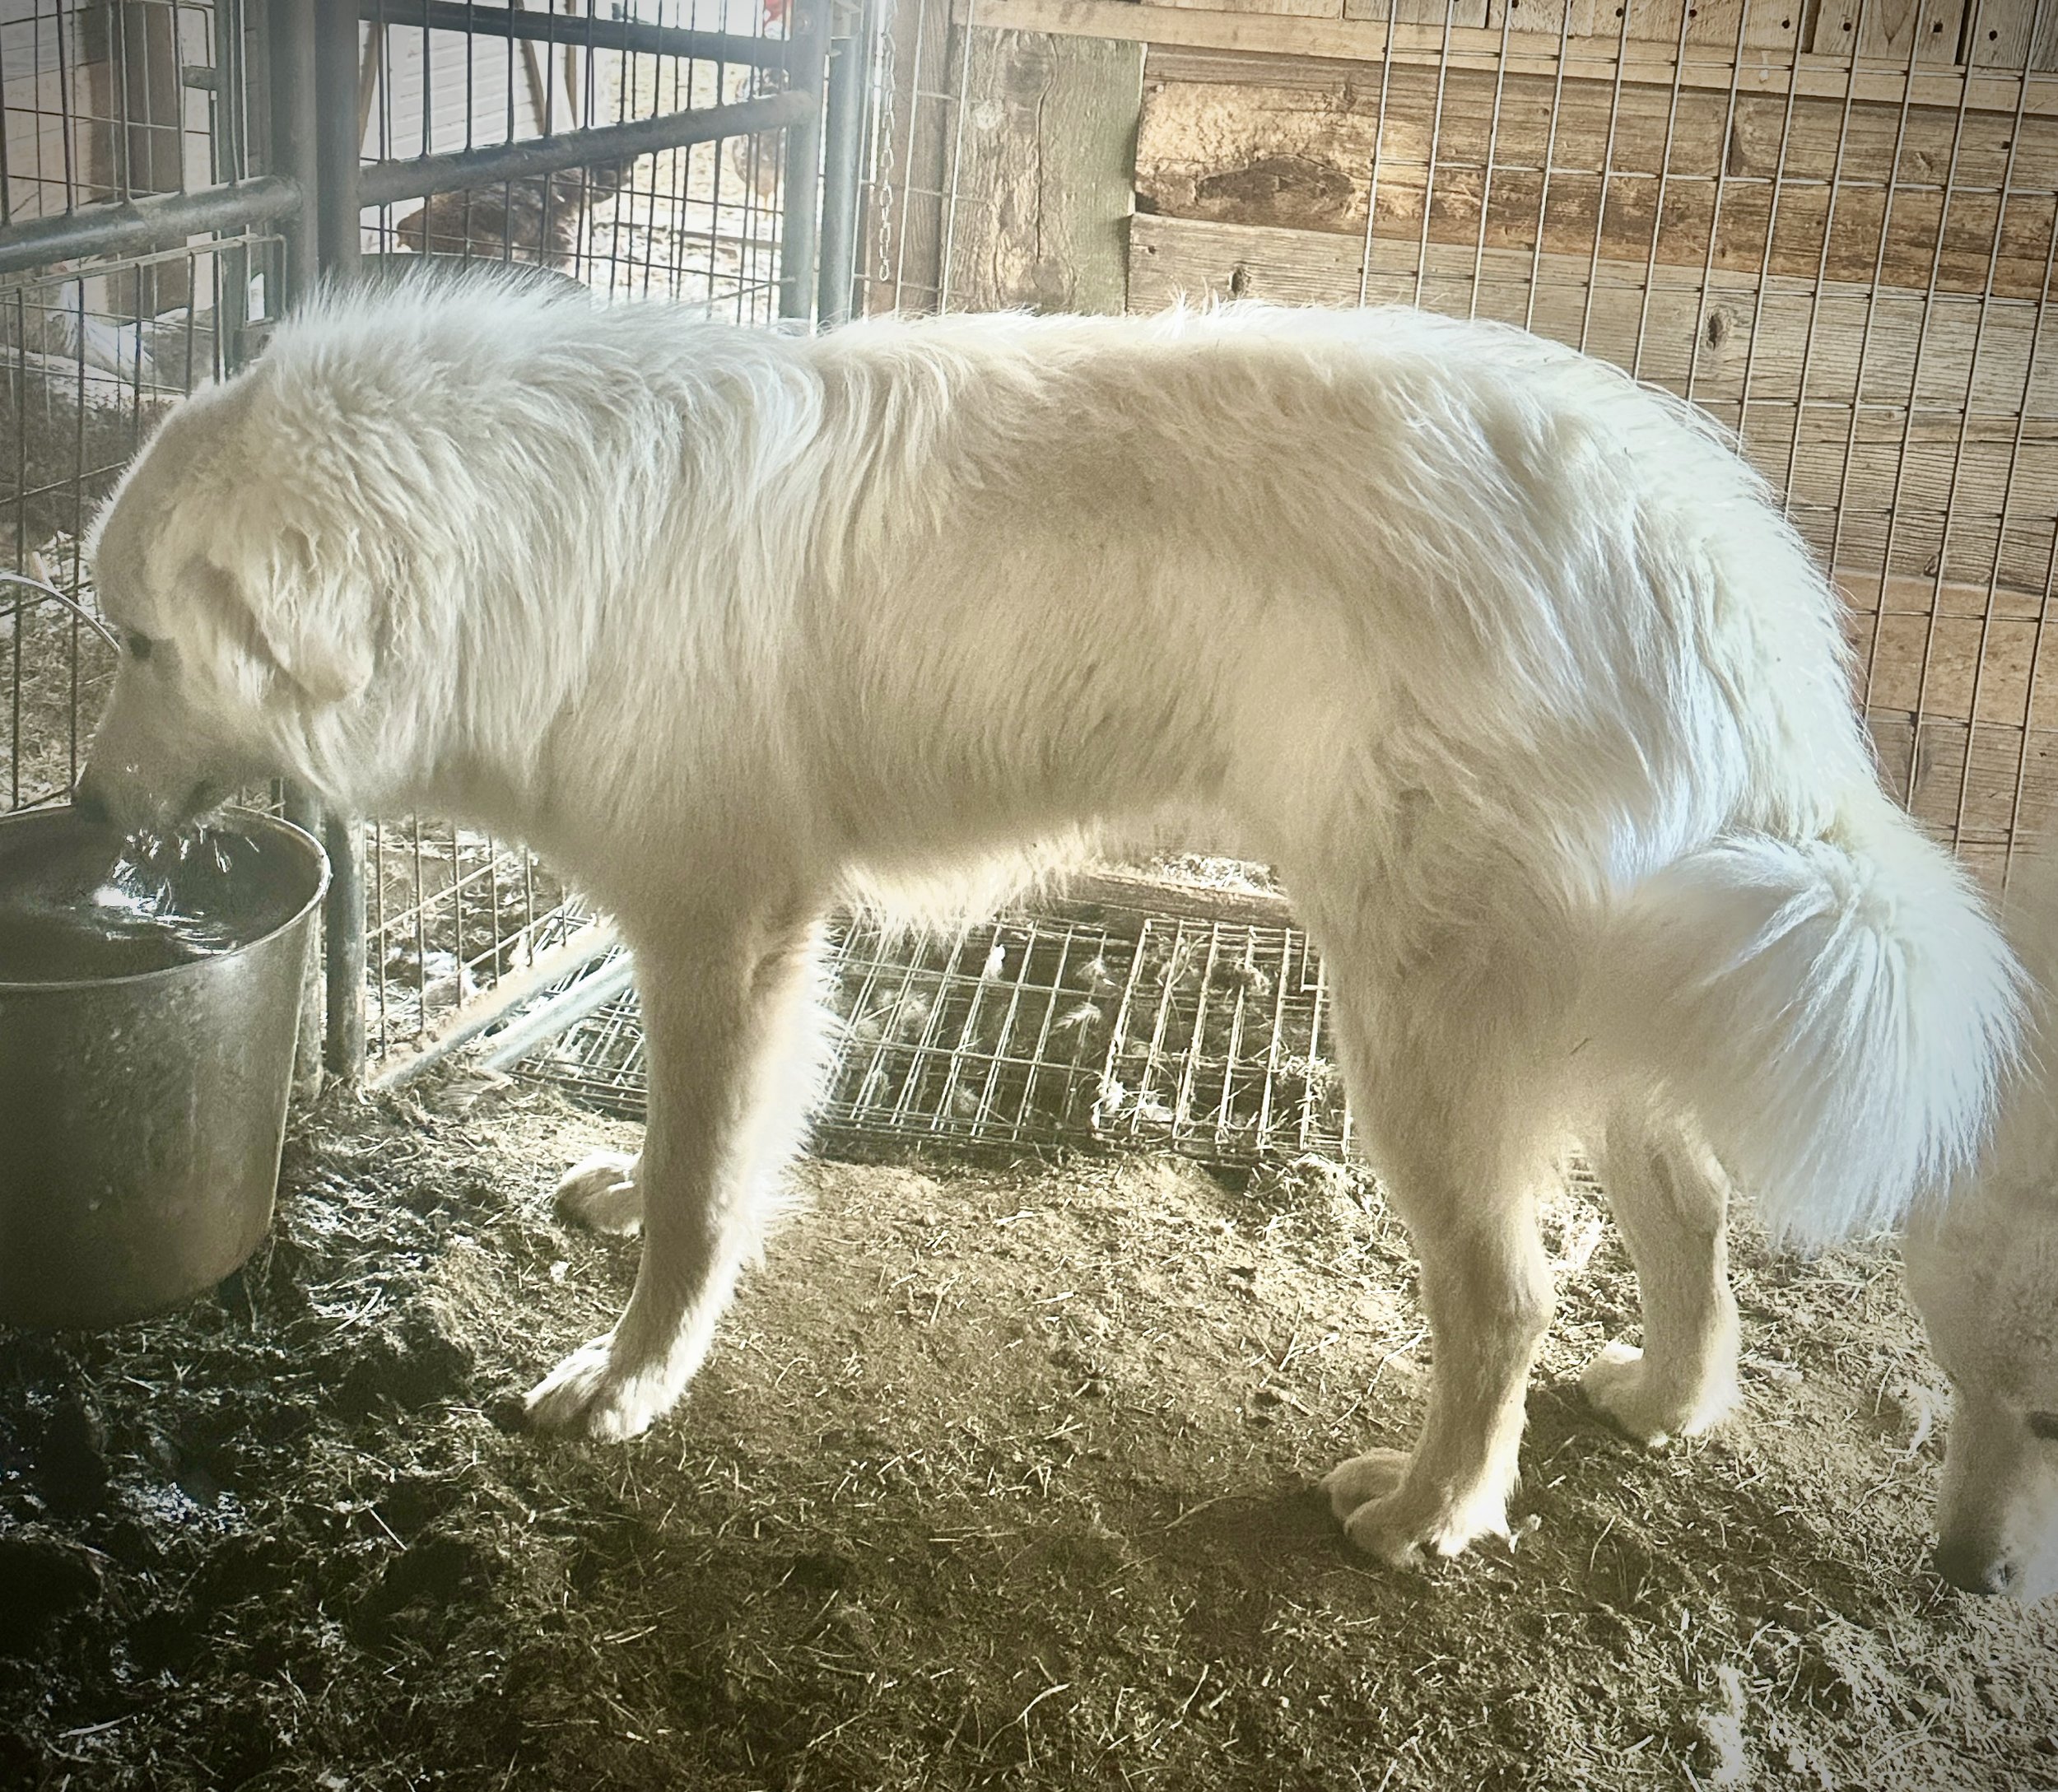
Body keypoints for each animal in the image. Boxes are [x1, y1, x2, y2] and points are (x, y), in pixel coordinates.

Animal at [74, 271, 2020, 1567]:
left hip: (1417, 1016)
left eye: (143, 643)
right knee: (1686, 1205)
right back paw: (1667, 1399)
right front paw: (627, 1199)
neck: (505, 536)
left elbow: (703, 1192)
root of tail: (1696, 542)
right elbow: (709, 1146)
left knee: (1507, 1290)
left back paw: (1429, 1507)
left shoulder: (725, 922)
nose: (83, 813)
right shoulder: (743, 931)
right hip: (1595, 981)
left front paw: (625, 1383)